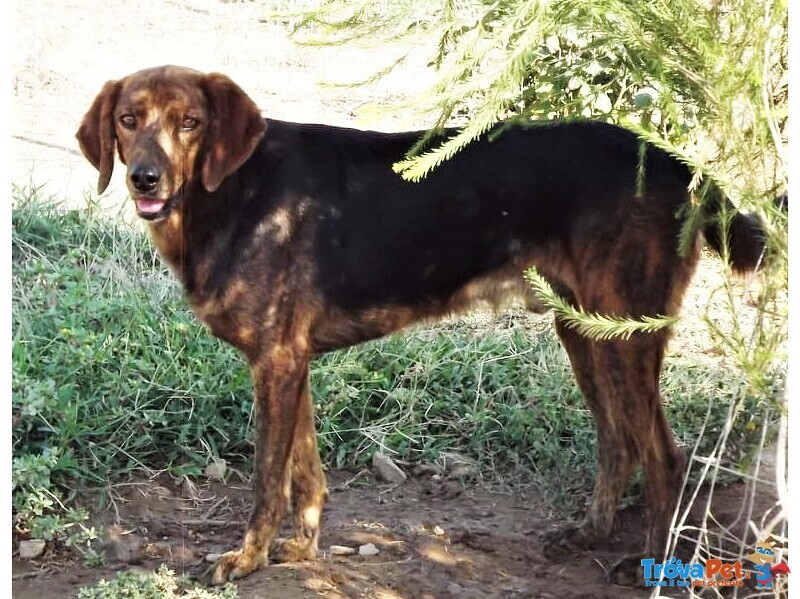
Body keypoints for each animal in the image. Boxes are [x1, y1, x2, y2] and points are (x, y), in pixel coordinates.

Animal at [78, 65, 764, 584]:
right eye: (129, 119)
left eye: (189, 123)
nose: (145, 178)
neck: (231, 192)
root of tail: (680, 164)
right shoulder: (290, 360)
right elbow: (305, 471)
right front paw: (299, 552)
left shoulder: (275, 361)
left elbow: (267, 481)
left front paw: (249, 559)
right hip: (585, 335)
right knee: (617, 440)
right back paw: (591, 532)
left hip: (626, 335)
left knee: (665, 456)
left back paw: (652, 563)